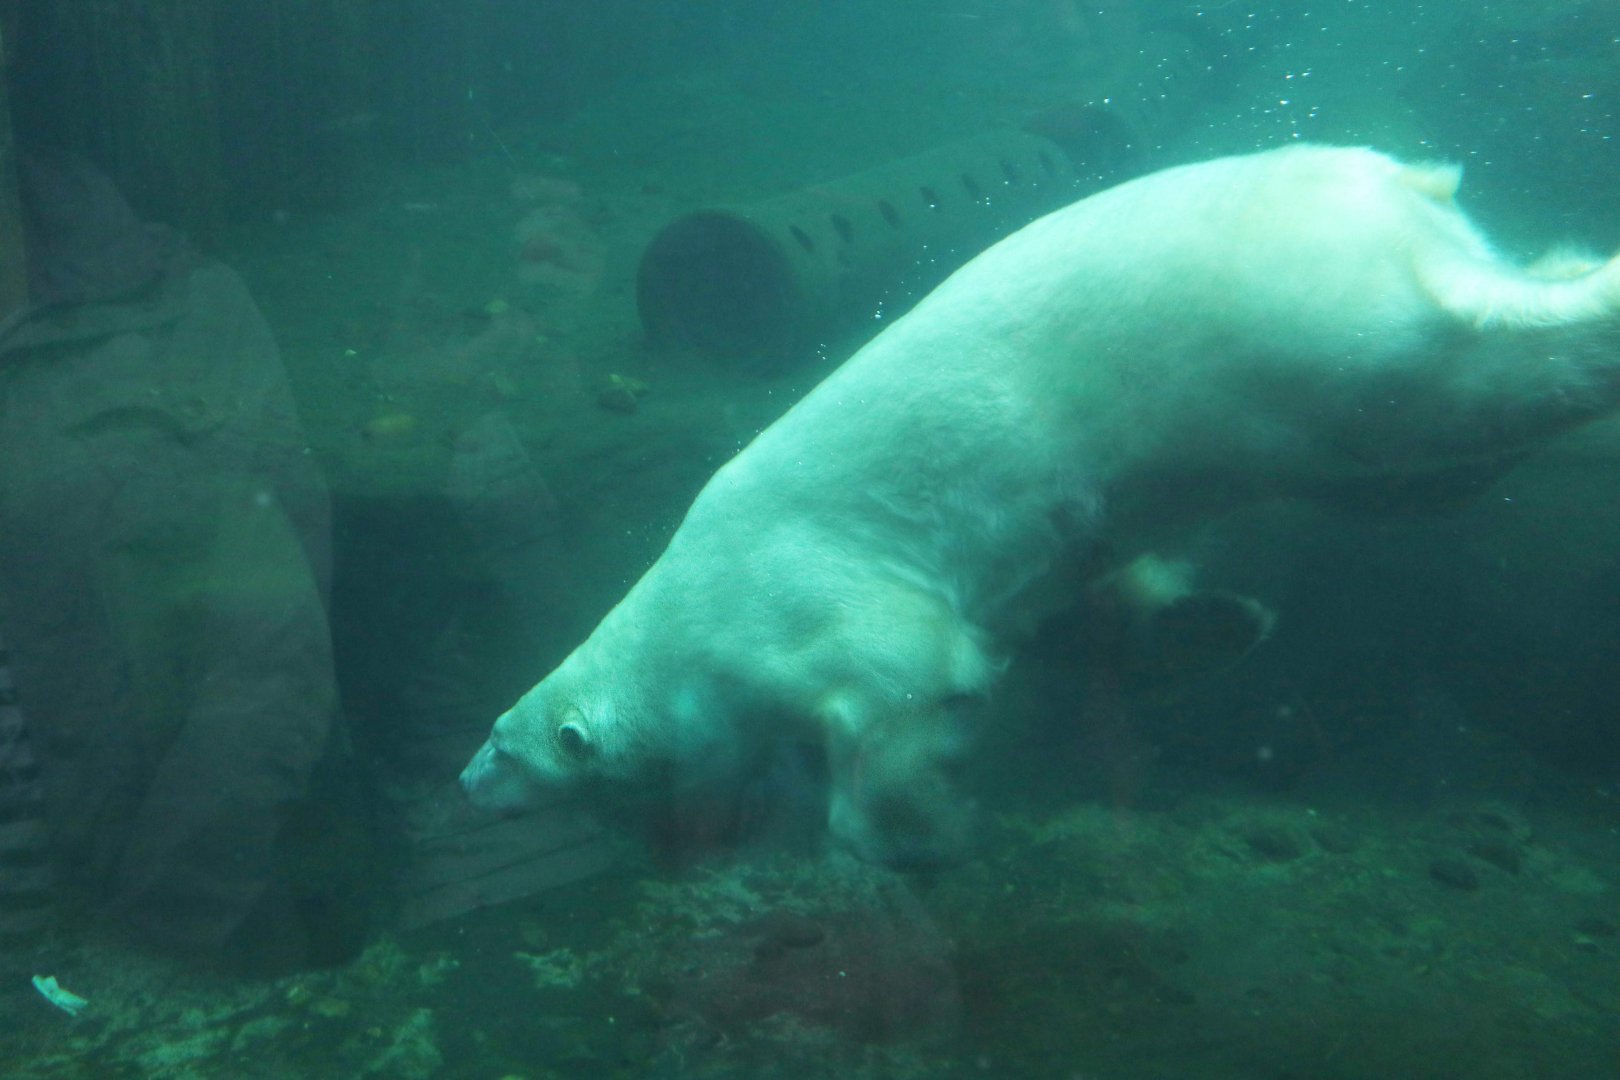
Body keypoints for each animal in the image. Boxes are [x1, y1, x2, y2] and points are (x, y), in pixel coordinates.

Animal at [462, 144, 1620, 865]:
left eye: (509, 742)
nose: (467, 780)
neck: (681, 612)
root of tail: (1390, 182)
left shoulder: (798, 592)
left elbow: (905, 684)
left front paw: (915, 835)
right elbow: (1084, 613)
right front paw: (1215, 627)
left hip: (1296, 325)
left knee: (1440, 368)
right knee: (1418, 456)